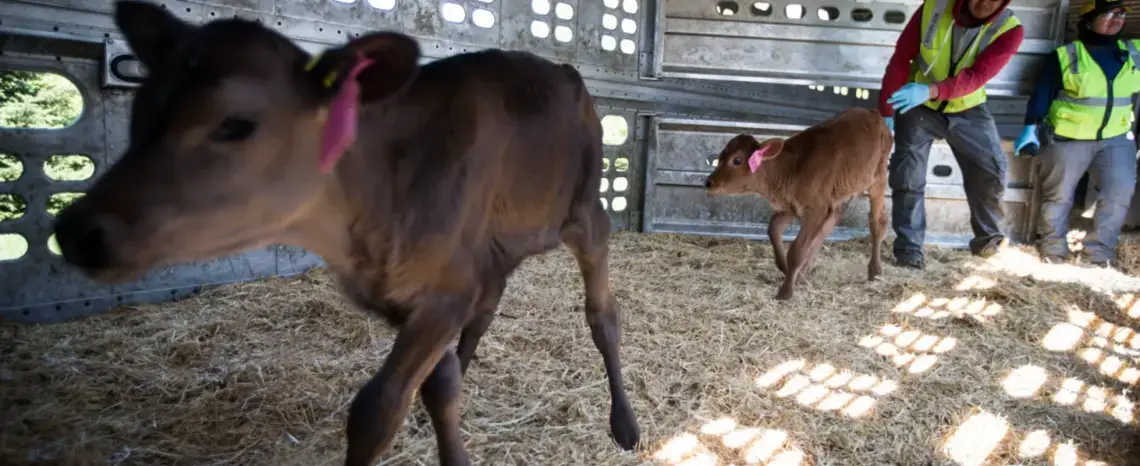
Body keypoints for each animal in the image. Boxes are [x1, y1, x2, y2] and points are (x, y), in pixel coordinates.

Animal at [50, 1, 641, 465]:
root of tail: (565, 71)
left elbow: (376, 410)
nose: (77, 229)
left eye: (236, 123)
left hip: (585, 211)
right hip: (497, 242)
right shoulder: (421, 288)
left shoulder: (444, 294)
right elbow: (440, 383)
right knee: (488, 308)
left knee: (603, 314)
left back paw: (625, 424)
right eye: (142, 109)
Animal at [702, 107, 891, 301]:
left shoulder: (815, 209)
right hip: (838, 192)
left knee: (878, 222)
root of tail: (871, 112)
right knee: (834, 217)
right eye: (720, 157)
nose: (709, 182)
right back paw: (804, 270)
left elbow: (797, 249)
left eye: (737, 160)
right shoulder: (791, 206)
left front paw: (785, 291)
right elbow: (773, 229)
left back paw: (875, 270)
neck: (792, 169)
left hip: (878, 178)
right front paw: (785, 268)